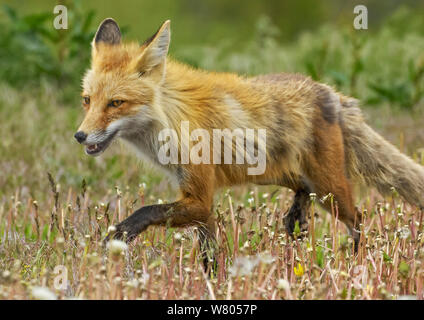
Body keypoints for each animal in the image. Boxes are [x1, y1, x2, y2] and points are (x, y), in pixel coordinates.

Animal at [75, 18, 424, 252]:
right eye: (87, 100)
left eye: (116, 103)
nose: (80, 135)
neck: (172, 119)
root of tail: (330, 93)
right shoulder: (197, 199)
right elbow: (209, 256)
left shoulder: (199, 197)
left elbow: (145, 211)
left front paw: (118, 236)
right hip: (278, 174)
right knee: (301, 196)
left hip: (330, 189)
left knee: (358, 220)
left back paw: (353, 259)